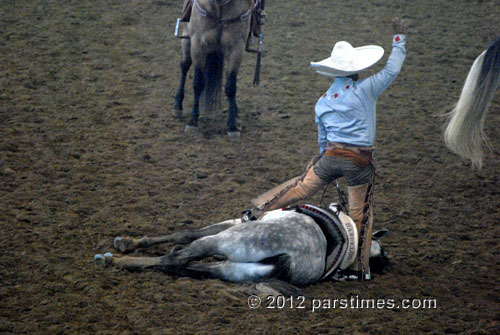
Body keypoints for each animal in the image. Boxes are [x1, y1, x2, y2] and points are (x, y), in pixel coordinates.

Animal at [94, 203, 390, 284]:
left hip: (225, 242)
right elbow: (185, 233)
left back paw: (115, 261)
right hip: (237, 270)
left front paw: (125, 245)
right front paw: (128, 242)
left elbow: (186, 236)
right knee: (191, 265)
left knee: (175, 258)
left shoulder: (232, 226)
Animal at [173, 0, 260, 137]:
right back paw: (177, 106)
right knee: (184, 66)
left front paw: (232, 126)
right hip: (186, 39)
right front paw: (193, 122)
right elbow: (198, 84)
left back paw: (235, 112)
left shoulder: (236, 49)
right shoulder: (198, 46)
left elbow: (231, 86)